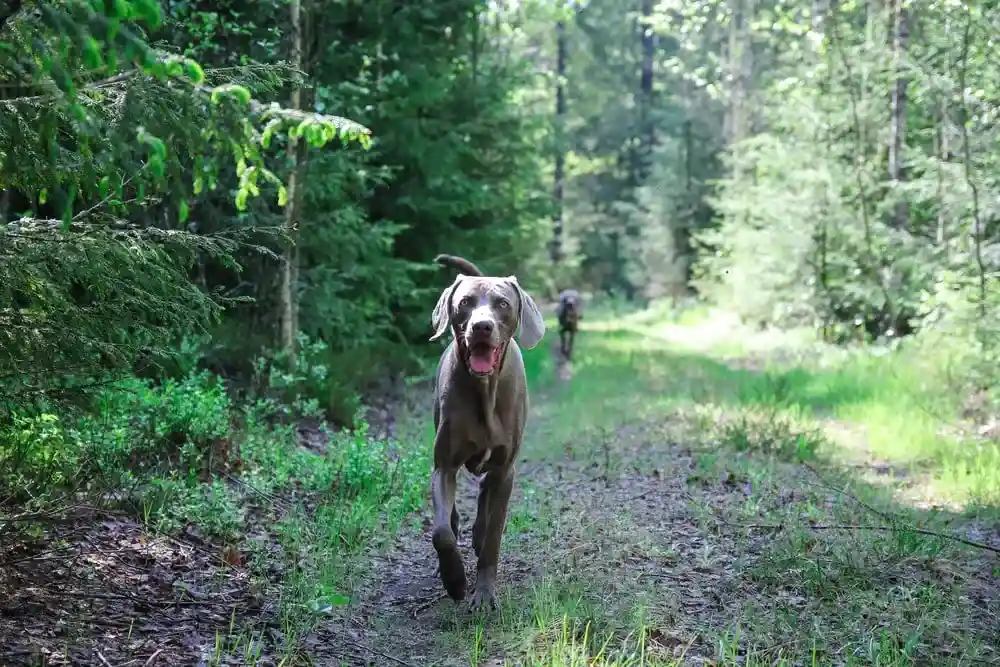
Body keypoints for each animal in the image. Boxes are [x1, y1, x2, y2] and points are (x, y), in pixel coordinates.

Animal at [426, 253, 544, 612]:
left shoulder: (506, 471)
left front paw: (484, 593)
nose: (482, 326)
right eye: (464, 302)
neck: (484, 391)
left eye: (502, 304)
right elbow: (441, 533)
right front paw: (454, 581)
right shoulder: (444, 466)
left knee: (485, 494)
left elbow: (494, 536)